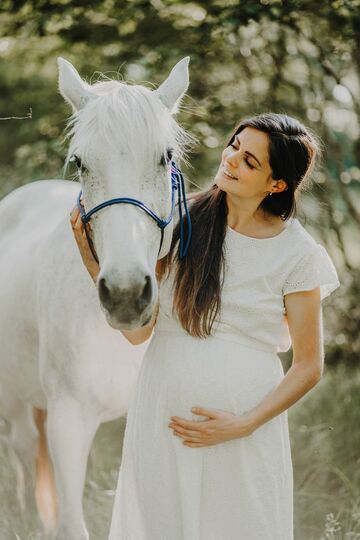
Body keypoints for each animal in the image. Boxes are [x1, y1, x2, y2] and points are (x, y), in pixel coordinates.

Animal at [0, 56, 190, 540]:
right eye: (81, 163)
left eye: (166, 157)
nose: (125, 294)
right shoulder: (68, 421)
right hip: (16, 402)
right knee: (24, 454)